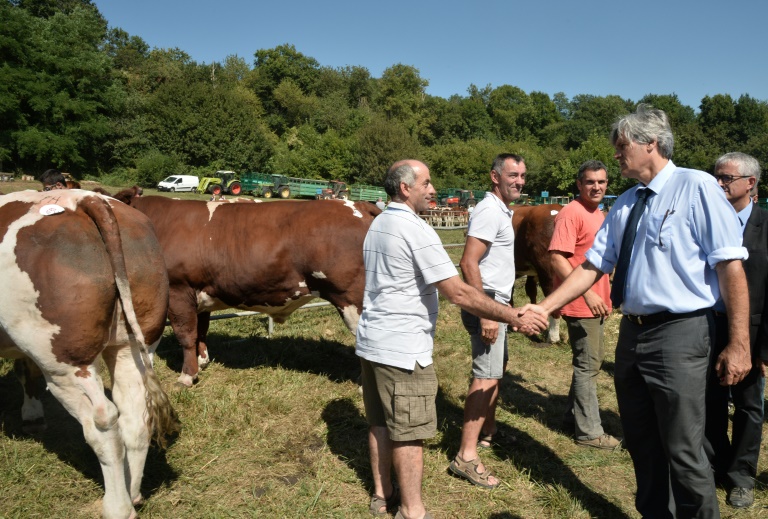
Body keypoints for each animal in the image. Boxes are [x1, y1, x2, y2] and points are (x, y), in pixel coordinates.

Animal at [0, 190, 179, 519]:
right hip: (133, 345)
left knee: (103, 424)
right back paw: (133, 491)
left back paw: (118, 506)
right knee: (135, 414)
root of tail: (83, 199)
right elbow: (24, 370)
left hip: (66, 362)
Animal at [127, 196, 380, 387]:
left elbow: (186, 335)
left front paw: (187, 376)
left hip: (353, 300)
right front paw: (203, 361)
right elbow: (201, 330)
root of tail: (360, 205)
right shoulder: (200, 295)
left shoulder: (179, 291)